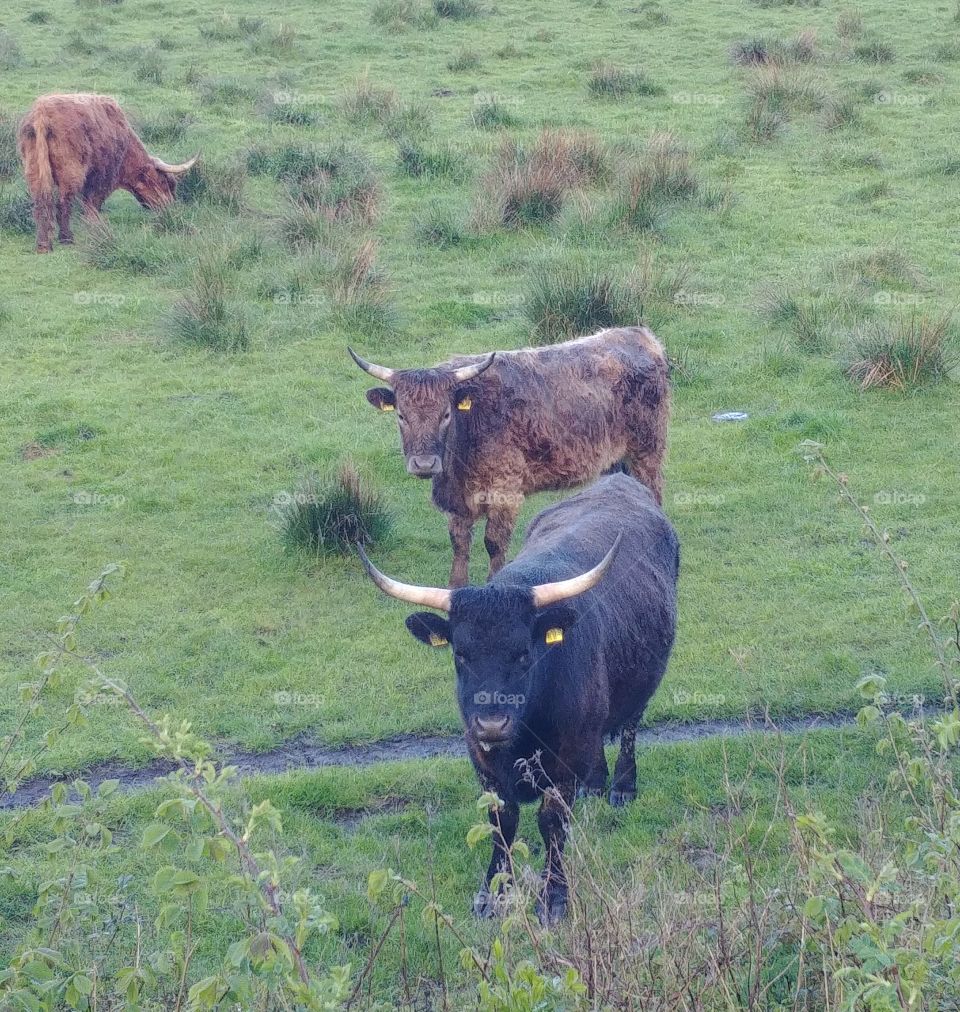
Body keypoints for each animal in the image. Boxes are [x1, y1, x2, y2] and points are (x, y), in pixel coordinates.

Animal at [17, 93, 198, 253]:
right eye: (166, 183)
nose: (171, 208)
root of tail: (41, 114)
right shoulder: (103, 175)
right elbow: (92, 201)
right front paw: (95, 224)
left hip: (34, 170)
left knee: (40, 201)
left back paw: (43, 245)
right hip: (71, 171)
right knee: (63, 203)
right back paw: (66, 238)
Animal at [349, 325, 669, 587]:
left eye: (446, 414)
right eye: (401, 416)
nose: (424, 464)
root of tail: (638, 334)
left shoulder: (504, 490)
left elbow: (493, 542)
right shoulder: (457, 501)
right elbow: (459, 543)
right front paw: (455, 587)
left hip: (647, 451)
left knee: (653, 492)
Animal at [358, 472, 679, 923]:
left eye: (525, 653)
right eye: (460, 654)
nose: (492, 722)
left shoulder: (565, 758)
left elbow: (552, 823)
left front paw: (555, 895)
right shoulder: (481, 757)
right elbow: (501, 820)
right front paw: (492, 892)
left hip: (643, 681)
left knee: (630, 727)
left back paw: (621, 787)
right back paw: (595, 785)